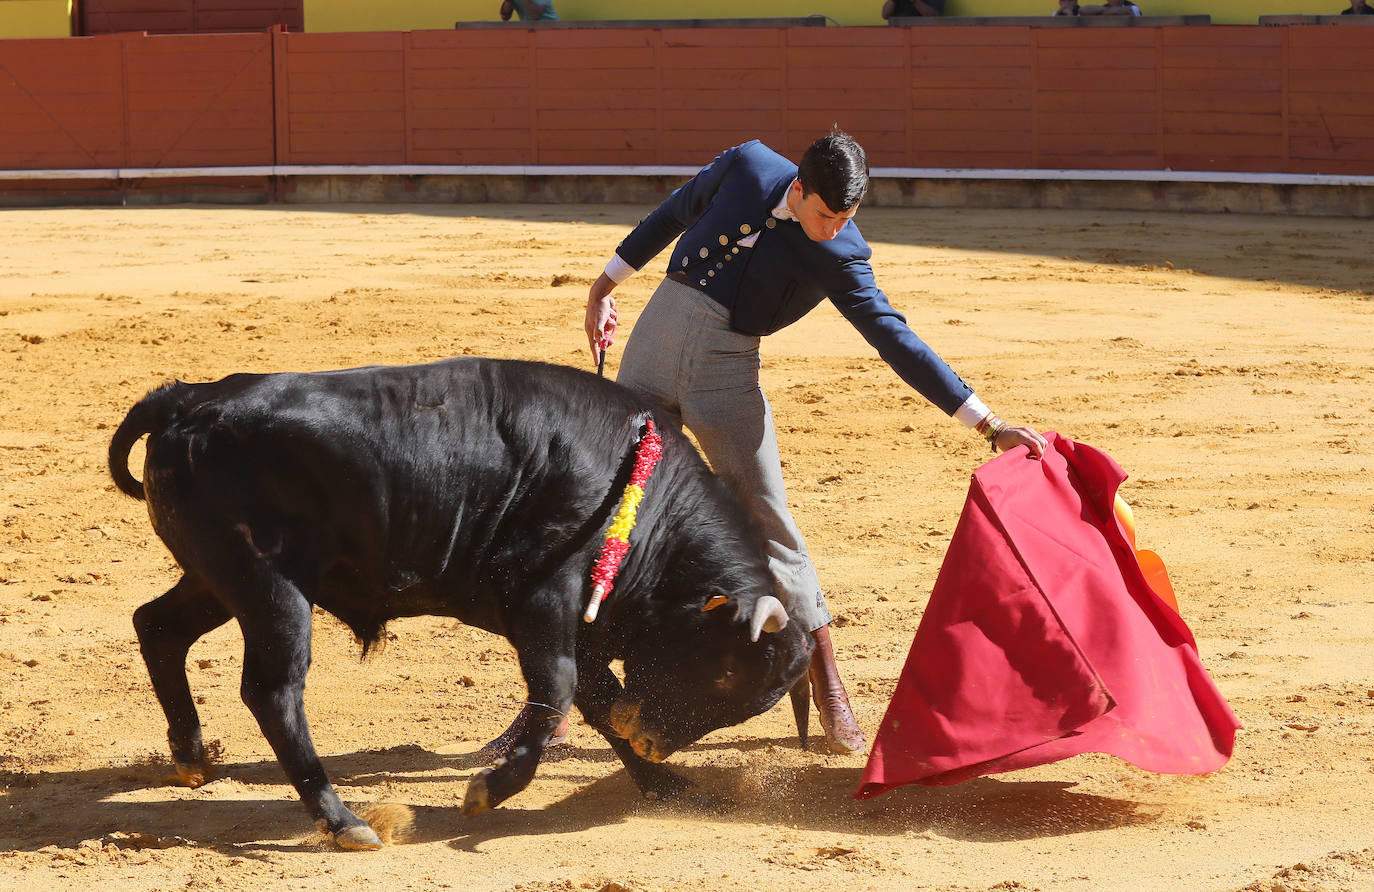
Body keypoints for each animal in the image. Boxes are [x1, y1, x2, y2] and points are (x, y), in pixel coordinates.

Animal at [109, 357, 813, 846]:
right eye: (724, 673)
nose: (655, 743)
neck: (645, 501)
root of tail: (187, 398)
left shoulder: (579, 629)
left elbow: (597, 702)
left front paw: (667, 786)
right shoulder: (542, 600)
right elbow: (558, 693)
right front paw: (488, 791)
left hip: (217, 581)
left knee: (158, 627)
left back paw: (192, 757)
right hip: (271, 591)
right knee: (273, 692)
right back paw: (344, 822)